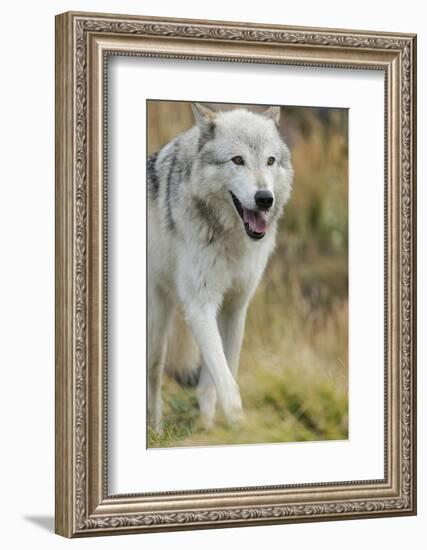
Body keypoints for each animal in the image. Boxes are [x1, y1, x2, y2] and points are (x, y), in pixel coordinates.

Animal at [148, 101, 294, 434]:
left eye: (270, 161)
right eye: (238, 160)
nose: (264, 199)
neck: (231, 240)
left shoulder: (235, 306)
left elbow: (217, 377)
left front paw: (208, 428)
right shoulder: (200, 305)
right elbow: (226, 381)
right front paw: (240, 427)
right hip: (158, 325)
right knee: (154, 375)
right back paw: (155, 431)